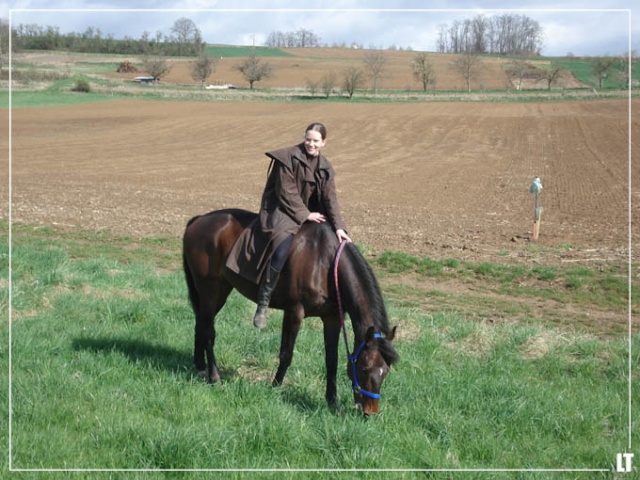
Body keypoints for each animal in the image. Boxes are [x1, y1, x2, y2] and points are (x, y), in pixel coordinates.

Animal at [182, 208, 398, 414]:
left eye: (385, 371)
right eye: (364, 368)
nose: (370, 412)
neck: (325, 263)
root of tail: (198, 220)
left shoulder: (332, 318)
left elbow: (332, 360)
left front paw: (333, 402)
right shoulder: (294, 312)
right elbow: (286, 353)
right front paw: (275, 387)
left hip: (220, 290)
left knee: (200, 323)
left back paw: (199, 366)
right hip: (210, 289)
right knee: (208, 331)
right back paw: (214, 376)